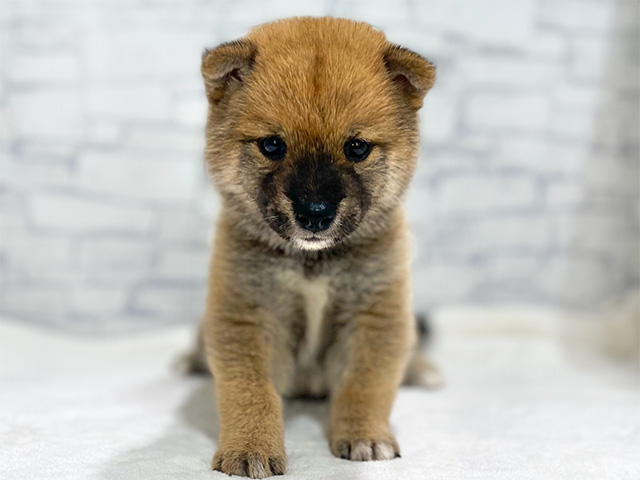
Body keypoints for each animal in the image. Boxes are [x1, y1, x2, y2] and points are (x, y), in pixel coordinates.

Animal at [190, 16, 438, 478]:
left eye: (357, 148)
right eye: (272, 145)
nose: (315, 212)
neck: (313, 262)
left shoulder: (376, 314)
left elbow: (366, 383)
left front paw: (365, 436)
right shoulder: (246, 315)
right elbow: (249, 391)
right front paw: (249, 448)